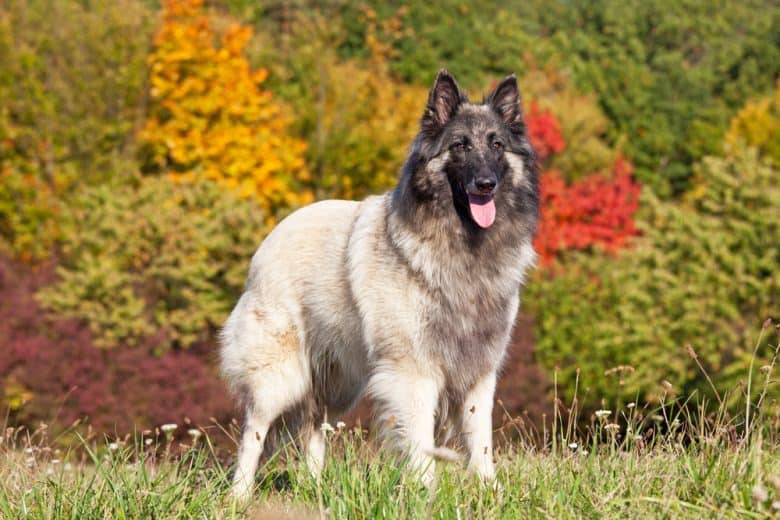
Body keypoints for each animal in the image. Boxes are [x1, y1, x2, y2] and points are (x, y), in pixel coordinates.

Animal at [219, 69, 536, 500]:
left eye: (497, 145)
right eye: (460, 145)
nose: (485, 184)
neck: (464, 247)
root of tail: (273, 235)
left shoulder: (478, 372)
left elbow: (480, 438)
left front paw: (491, 490)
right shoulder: (412, 372)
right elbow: (420, 439)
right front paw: (426, 492)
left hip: (337, 380)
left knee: (313, 427)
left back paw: (317, 489)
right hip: (280, 376)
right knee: (255, 428)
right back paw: (239, 494)